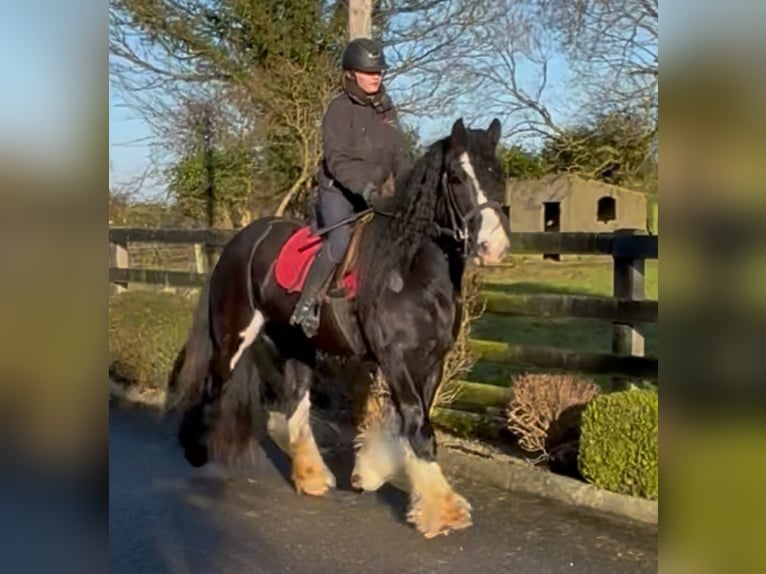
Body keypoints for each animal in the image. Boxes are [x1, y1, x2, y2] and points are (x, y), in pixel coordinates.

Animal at [170, 117, 516, 540]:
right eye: (456, 177)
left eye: (497, 173)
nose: (493, 248)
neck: (411, 272)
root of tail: (240, 242)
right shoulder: (396, 359)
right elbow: (417, 425)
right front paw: (442, 510)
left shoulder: (432, 361)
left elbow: (412, 421)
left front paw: (371, 471)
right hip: (233, 336)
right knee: (214, 383)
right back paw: (196, 451)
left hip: (297, 342)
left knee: (295, 398)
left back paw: (311, 477)